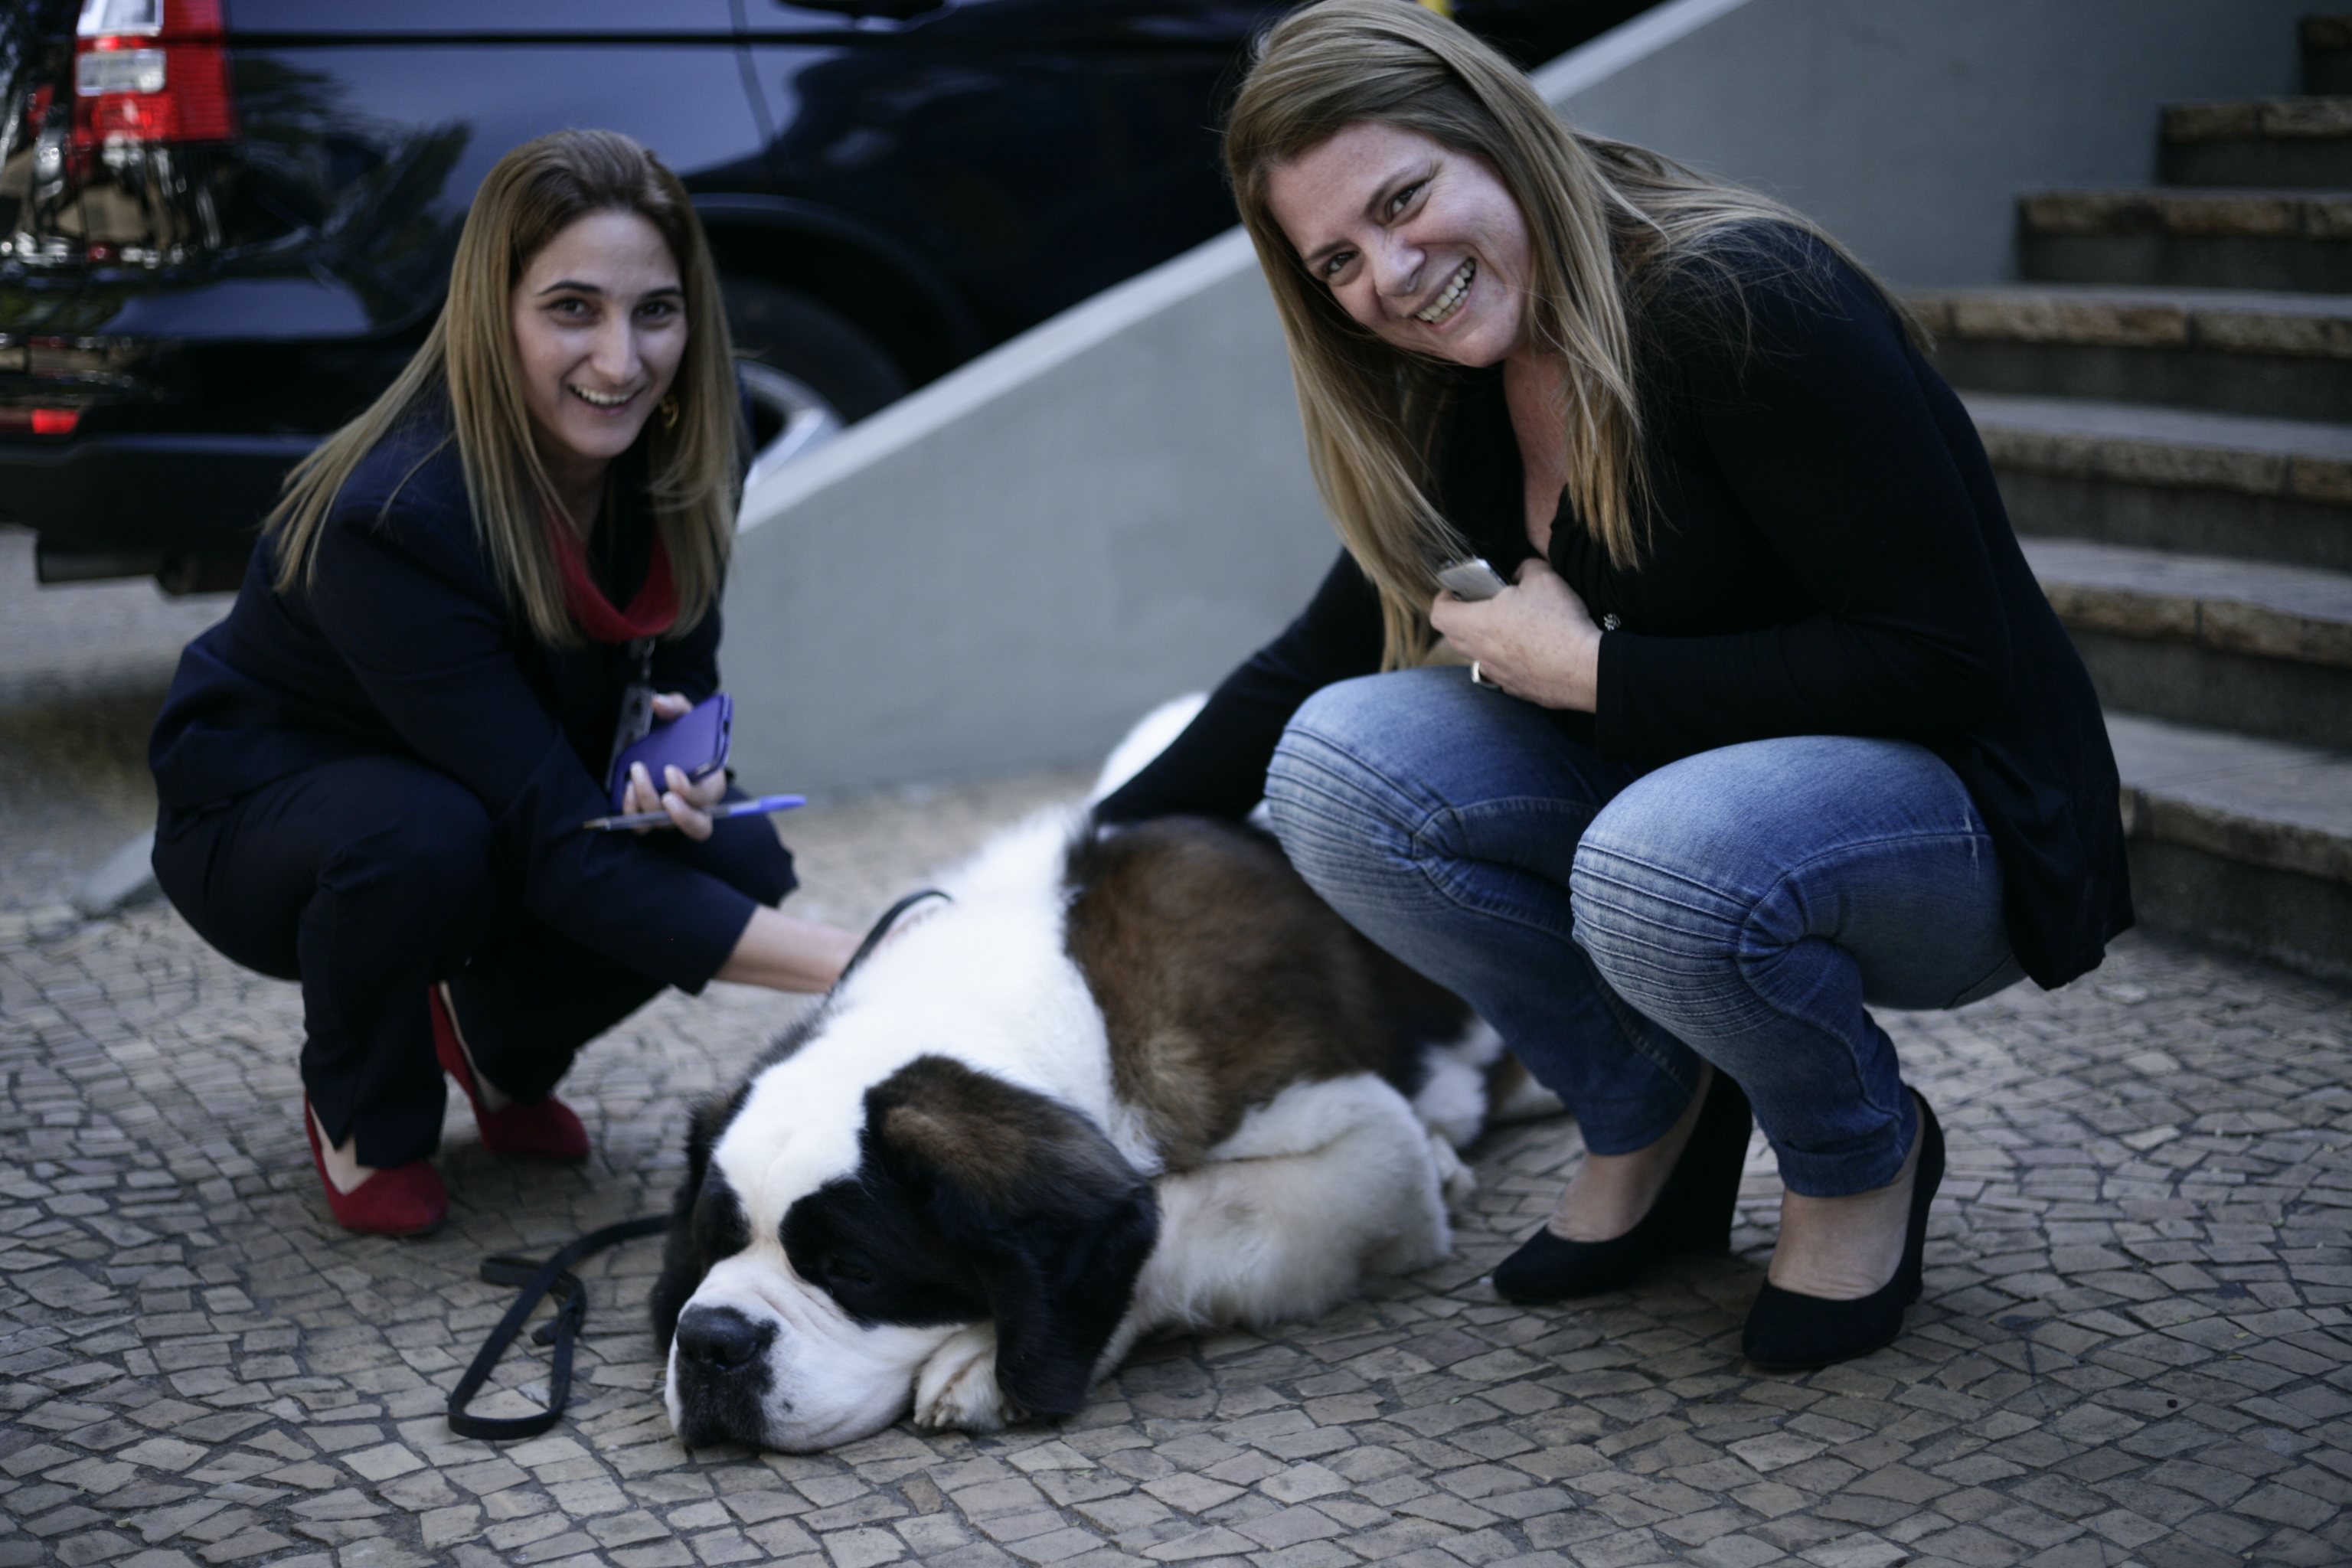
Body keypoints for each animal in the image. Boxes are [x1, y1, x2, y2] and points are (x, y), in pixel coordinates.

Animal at [654, 705, 1543, 1457]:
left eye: (851, 1270)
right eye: (713, 1242)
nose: (711, 1342)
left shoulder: (1367, 1149)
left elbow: (1186, 1214)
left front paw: (988, 1359)